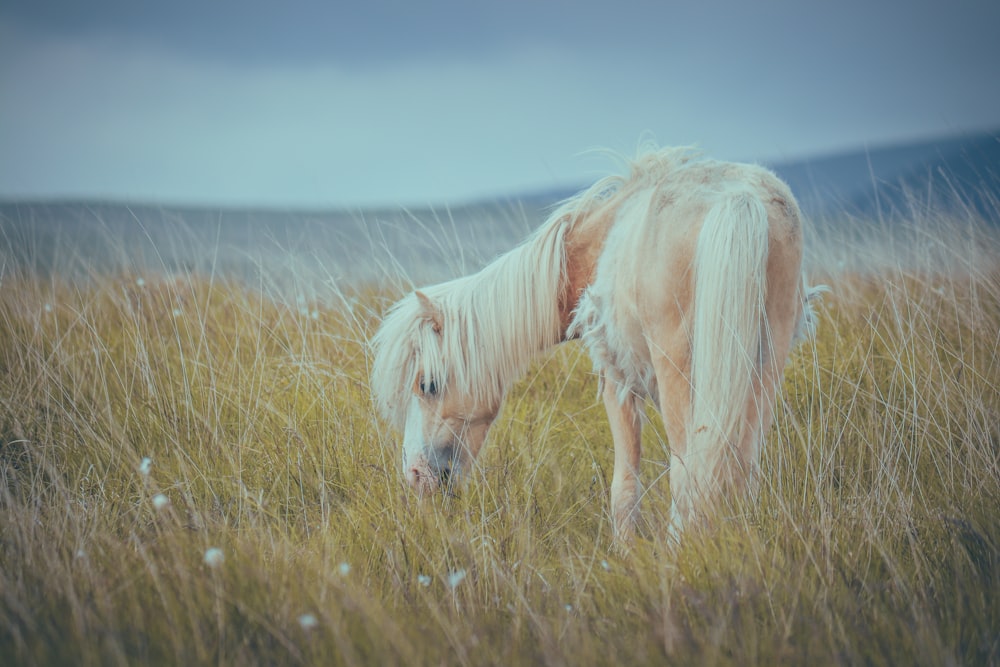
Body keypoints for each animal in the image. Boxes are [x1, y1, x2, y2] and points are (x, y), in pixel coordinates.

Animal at [372, 145, 824, 544]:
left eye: (427, 385)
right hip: (764, 364)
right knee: (742, 465)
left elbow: (624, 489)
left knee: (689, 470)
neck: (598, 246)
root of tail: (739, 199)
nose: (415, 475)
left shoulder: (616, 379)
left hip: (680, 372)